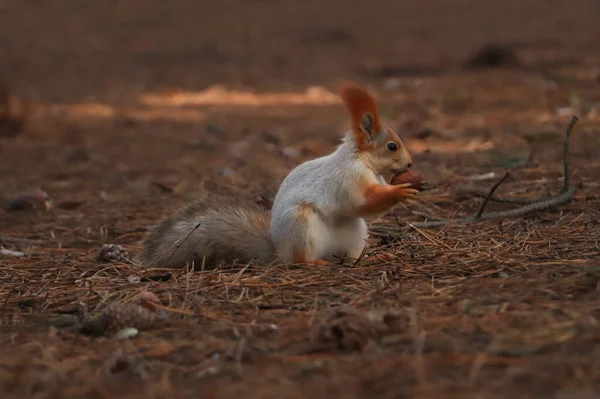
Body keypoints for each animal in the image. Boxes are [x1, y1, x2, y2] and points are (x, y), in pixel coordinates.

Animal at [138, 81, 414, 268]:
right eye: (392, 146)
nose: (410, 165)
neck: (362, 160)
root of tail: (278, 251)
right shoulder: (349, 178)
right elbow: (363, 202)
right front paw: (401, 191)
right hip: (302, 226)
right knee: (300, 260)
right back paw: (314, 262)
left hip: (355, 233)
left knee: (349, 255)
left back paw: (373, 256)